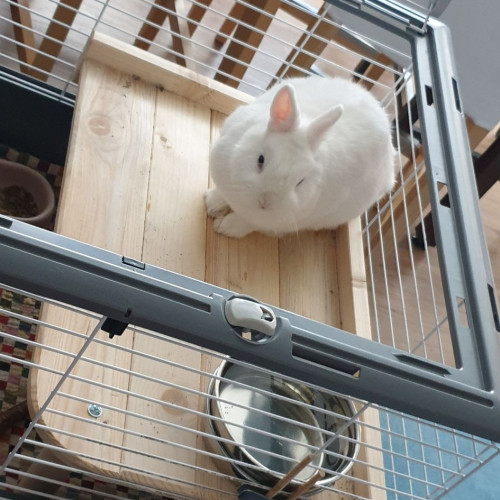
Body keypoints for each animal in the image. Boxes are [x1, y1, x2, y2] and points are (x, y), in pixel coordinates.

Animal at [205, 76, 395, 238]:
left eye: (300, 182)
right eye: (260, 160)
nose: (264, 202)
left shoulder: (276, 222)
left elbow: (247, 223)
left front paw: (224, 227)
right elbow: (223, 196)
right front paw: (211, 203)